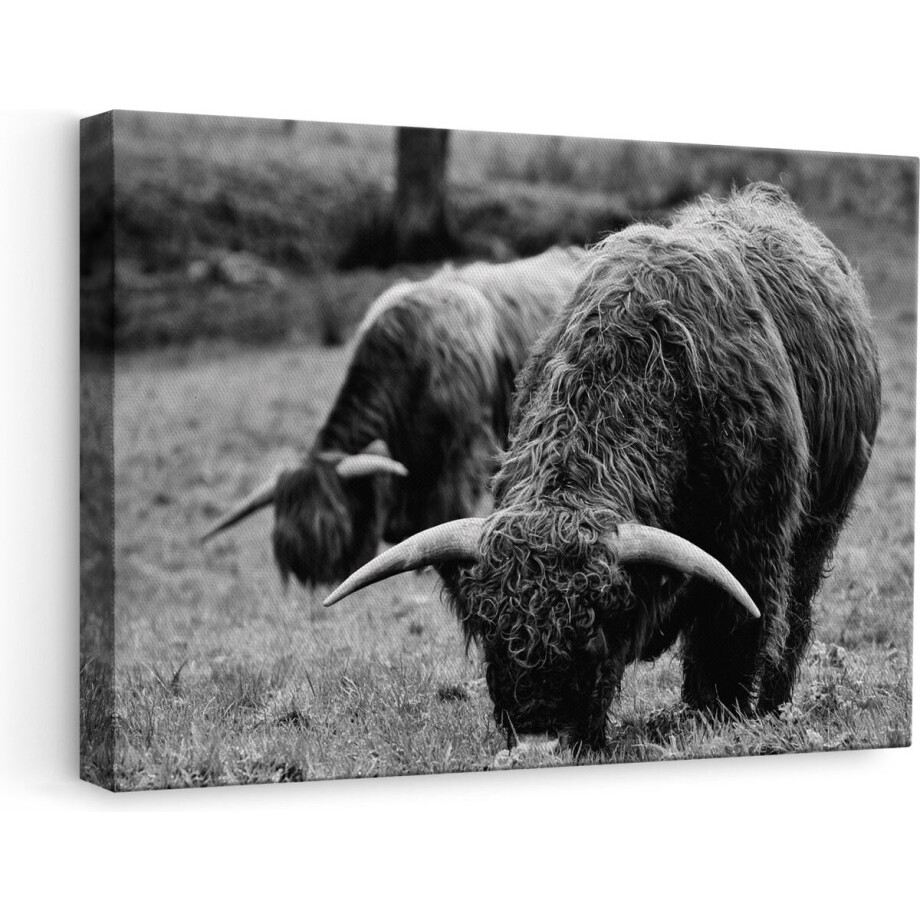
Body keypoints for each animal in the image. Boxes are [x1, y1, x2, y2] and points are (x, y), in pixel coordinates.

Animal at [325, 183, 882, 753]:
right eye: (490, 634)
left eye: (592, 632)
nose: (538, 741)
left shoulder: (751, 547)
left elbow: (733, 641)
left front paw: (720, 719)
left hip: (819, 527)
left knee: (795, 617)